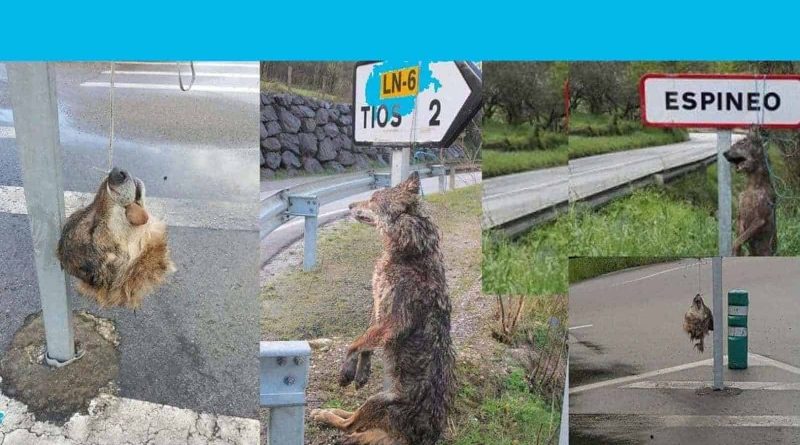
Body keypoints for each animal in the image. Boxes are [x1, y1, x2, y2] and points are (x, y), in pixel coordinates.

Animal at [310, 172, 456, 445]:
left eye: (372, 199)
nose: (349, 205)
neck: (412, 253)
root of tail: (417, 440)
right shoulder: (378, 307)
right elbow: (366, 341)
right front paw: (362, 372)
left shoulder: (394, 321)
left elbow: (354, 344)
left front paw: (347, 371)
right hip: (374, 403)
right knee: (352, 421)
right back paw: (325, 411)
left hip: (378, 401)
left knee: (349, 426)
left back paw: (326, 415)